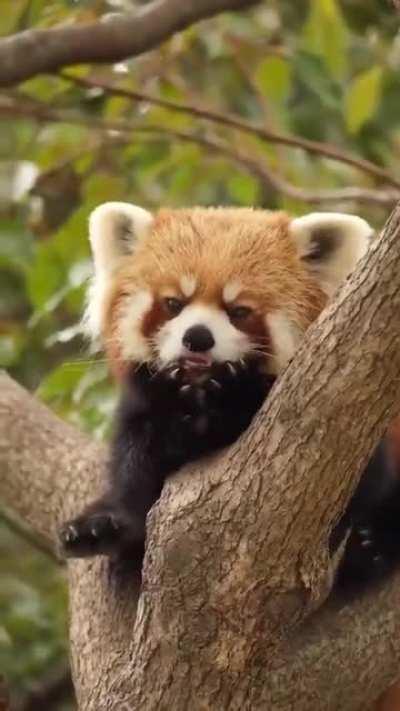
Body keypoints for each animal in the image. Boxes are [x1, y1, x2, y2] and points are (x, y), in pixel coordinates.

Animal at [59, 202, 400, 595]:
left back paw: (374, 546)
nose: (197, 337)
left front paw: (235, 392)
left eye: (239, 311)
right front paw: (102, 523)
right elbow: (136, 463)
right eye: (173, 303)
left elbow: (359, 483)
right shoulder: (145, 407)